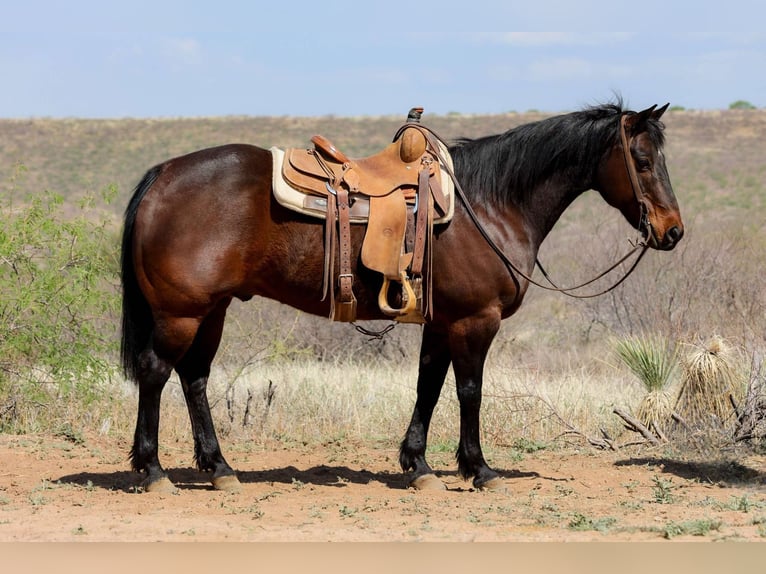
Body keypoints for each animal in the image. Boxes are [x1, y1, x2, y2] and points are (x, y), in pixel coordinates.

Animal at [120, 101, 683, 493]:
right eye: (641, 159)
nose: (673, 231)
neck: (490, 203)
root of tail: (163, 175)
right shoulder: (476, 321)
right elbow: (470, 392)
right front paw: (479, 469)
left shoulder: (441, 323)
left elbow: (427, 388)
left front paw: (418, 465)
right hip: (181, 313)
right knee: (155, 371)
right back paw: (153, 470)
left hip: (210, 311)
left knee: (194, 377)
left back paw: (219, 468)